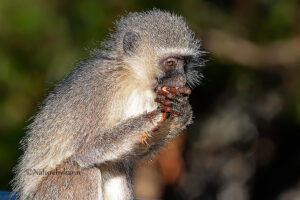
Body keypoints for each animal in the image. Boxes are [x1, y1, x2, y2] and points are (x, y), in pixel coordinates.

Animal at [12, 9, 204, 198]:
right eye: (171, 63)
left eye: (185, 63)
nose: (182, 79)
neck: (132, 78)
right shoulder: (98, 91)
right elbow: (87, 150)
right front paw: (152, 117)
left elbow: (133, 152)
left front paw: (183, 111)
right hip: (53, 191)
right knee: (85, 171)